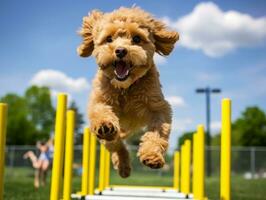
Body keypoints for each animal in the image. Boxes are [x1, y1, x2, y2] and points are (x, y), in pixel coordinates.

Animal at [78, 7, 180, 177]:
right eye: (109, 39)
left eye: (137, 38)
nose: (120, 51)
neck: (125, 88)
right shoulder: (100, 99)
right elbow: (101, 111)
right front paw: (105, 125)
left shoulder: (157, 106)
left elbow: (157, 132)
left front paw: (152, 156)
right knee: (116, 144)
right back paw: (122, 164)